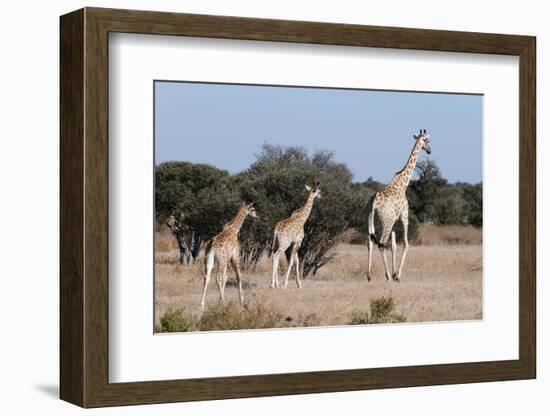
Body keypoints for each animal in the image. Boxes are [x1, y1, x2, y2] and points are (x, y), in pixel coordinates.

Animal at [368, 127, 434, 282]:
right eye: (426, 140)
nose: (429, 150)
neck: (403, 184)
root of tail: (373, 204)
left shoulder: (395, 220)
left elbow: (393, 246)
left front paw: (394, 273)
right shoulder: (404, 216)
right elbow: (405, 243)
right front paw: (397, 275)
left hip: (371, 220)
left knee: (370, 242)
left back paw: (369, 275)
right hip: (386, 222)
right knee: (381, 243)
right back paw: (387, 276)